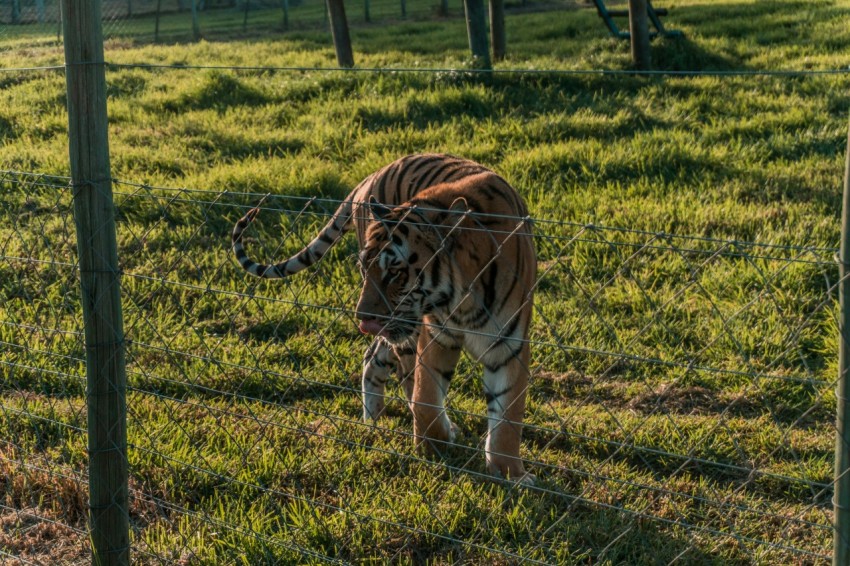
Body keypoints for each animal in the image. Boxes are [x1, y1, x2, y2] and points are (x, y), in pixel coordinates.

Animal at [230, 154, 536, 484]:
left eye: (395, 272)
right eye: (364, 268)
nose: (363, 318)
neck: (463, 300)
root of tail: (371, 176)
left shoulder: (508, 346)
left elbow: (507, 417)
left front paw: (511, 474)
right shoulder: (435, 335)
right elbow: (426, 395)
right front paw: (433, 447)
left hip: (401, 328)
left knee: (376, 355)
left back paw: (372, 417)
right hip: (407, 330)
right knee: (399, 369)